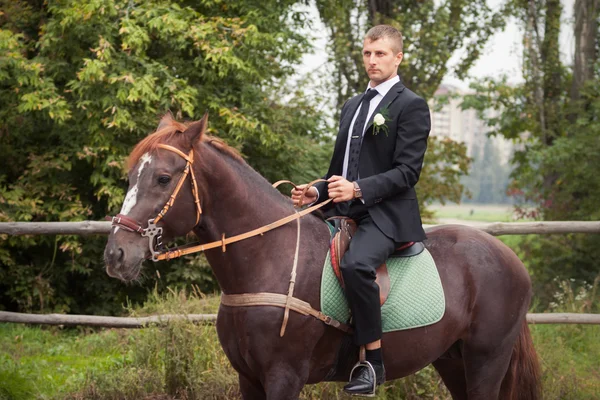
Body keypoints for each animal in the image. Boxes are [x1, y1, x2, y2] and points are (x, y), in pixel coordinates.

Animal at [104, 114, 544, 398]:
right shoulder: (249, 378)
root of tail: (510, 258)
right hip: (453, 361)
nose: (116, 254)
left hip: (487, 358)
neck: (268, 259)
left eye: (163, 178)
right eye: (131, 176)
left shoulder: (283, 377)